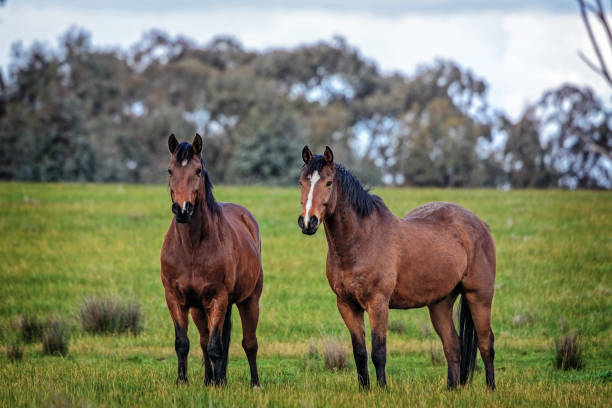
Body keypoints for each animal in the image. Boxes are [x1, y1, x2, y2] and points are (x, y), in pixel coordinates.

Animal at [160, 135, 262, 388]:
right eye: (170, 170)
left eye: (197, 170)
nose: (182, 209)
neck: (192, 248)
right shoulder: (174, 298)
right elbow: (184, 343)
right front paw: (183, 382)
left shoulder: (218, 297)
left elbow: (217, 346)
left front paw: (218, 385)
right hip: (199, 308)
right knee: (205, 340)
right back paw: (210, 379)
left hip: (249, 300)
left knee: (249, 342)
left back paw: (254, 383)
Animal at [298, 146, 494, 388]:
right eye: (301, 182)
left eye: (328, 183)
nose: (308, 222)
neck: (361, 241)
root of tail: (480, 224)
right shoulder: (347, 305)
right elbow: (359, 353)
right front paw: (365, 390)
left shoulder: (378, 303)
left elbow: (378, 352)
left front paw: (382, 389)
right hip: (440, 303)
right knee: (453, 346)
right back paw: (452, 389)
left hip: (479, 296)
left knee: (486, 344)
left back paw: (491, 389)